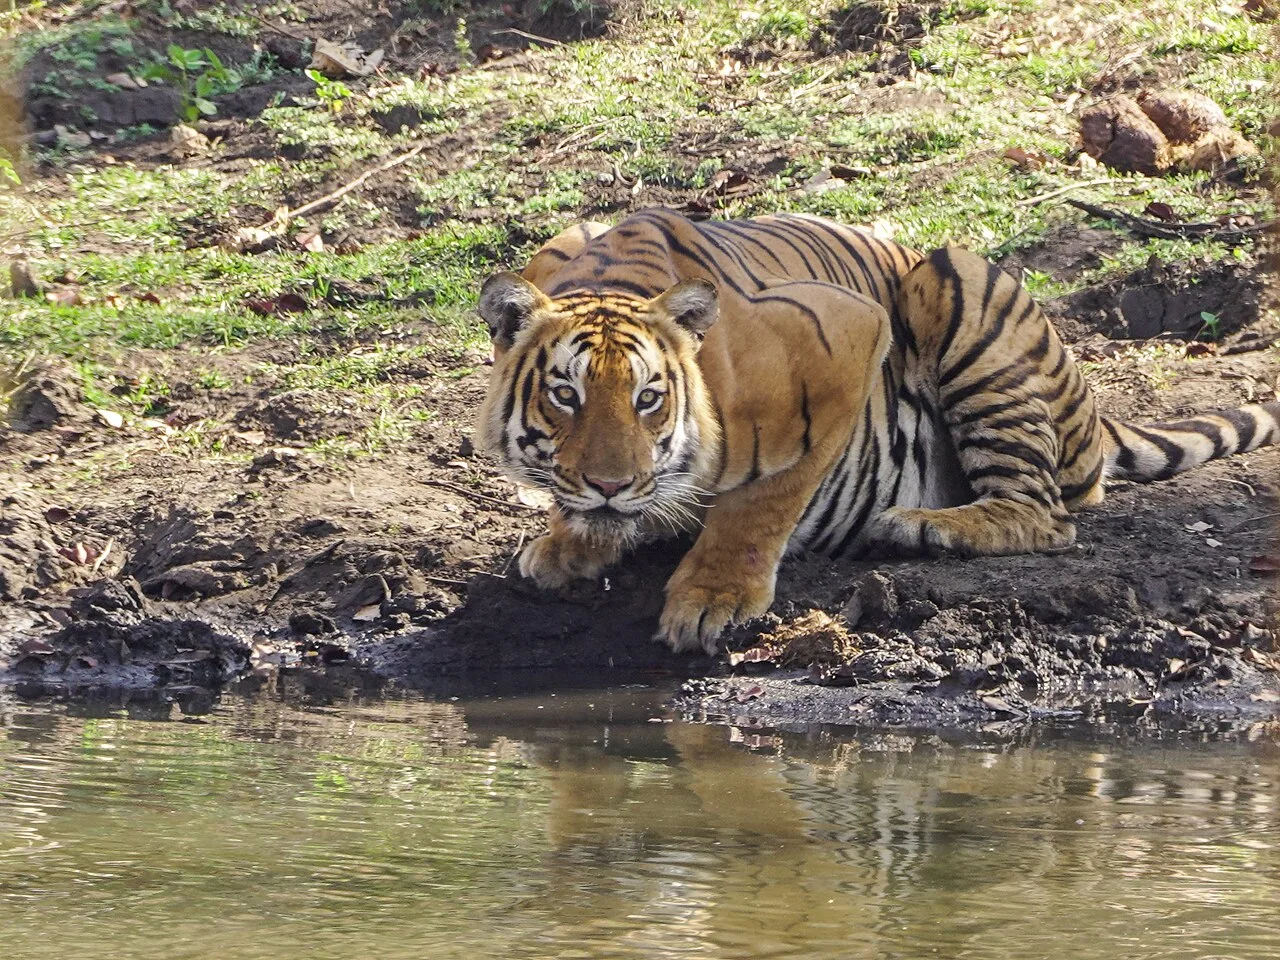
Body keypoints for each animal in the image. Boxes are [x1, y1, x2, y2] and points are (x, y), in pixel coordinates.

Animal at [474, 208, 1280, 655]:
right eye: (565, 396)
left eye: (649, 399)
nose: (610, 486)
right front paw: (569, 541)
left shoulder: (847, 339)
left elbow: (761, 502)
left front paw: (712, 597)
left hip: (955, 286)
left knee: (1047, 515)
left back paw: (923, 526)